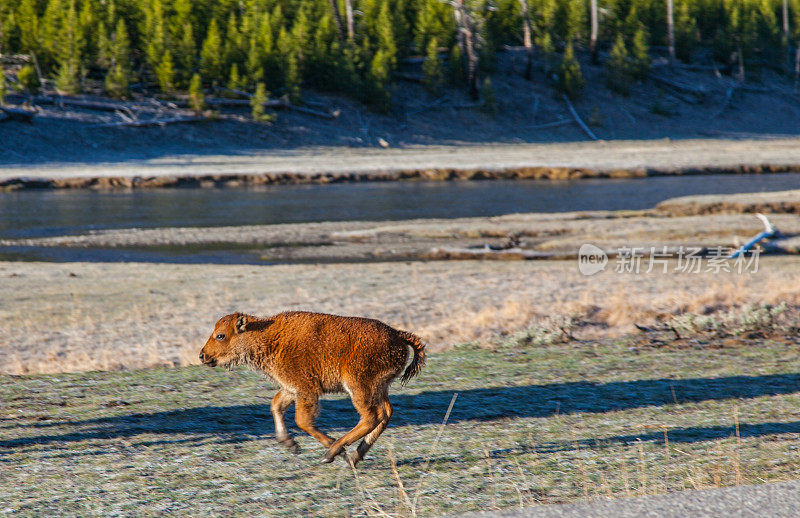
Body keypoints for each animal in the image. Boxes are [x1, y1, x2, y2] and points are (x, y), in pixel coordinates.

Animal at [199, 312, 424, 468]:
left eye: (220, 335)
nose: (202, 355)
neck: (267, 335)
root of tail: (397, 335)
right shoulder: (290, 389)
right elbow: (276, 406)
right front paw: (289, 444)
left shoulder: (306, 390)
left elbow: (303, 420)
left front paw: (330, 448)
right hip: (379, 389)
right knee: (385, 414)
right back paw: (354, 456)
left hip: (359, 387)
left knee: (371, 417)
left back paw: (333, 453)